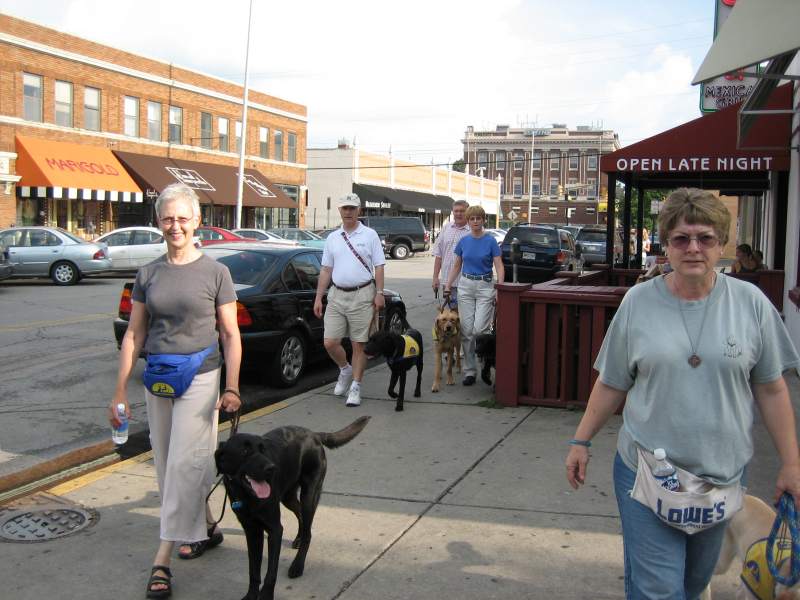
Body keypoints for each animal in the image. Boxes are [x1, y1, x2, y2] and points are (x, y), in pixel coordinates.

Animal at [217, 418, 370, 600]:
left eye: (263, 449)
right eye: (245, 450)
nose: (271, 468)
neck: (246, 494)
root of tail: (313, 434)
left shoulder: (274, 529)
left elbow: (271, 572)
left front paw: (266, 595)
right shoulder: (251, 530)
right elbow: (253, 570)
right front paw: (251, 595)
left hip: (309, 494)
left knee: (308, 532)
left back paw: (298, 565)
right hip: (288, 496)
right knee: (301, 516)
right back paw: (298, 538)